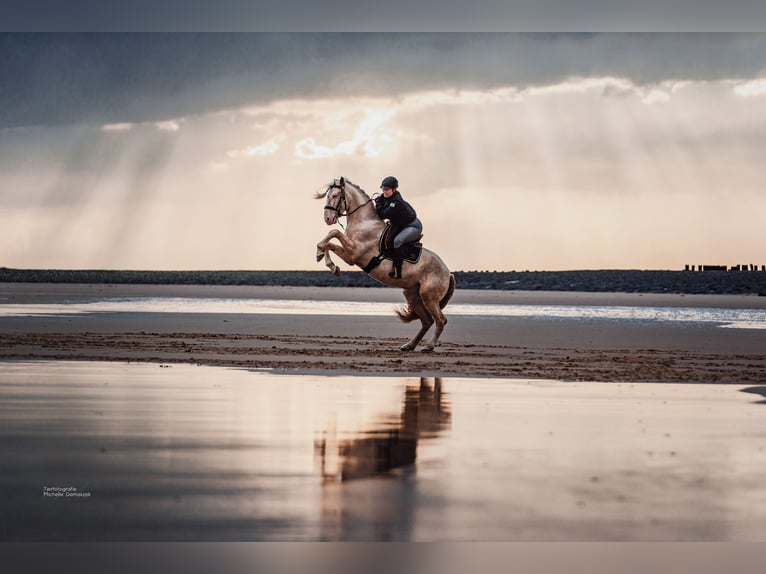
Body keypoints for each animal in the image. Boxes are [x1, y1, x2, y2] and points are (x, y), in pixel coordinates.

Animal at [314, 178, 456, 354]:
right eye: (327, 195)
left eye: (334, 195)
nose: (328, 218)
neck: (364, 223)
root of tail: (448, 273)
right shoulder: (350, 254)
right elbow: (330, 241)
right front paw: (329, 263)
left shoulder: (353, 254)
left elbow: (333, 234)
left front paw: (321, 254)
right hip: (413, 295)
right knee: (427, 321)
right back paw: (409, 345)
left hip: (429, 297)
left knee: (440, 321)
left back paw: (428, 347)